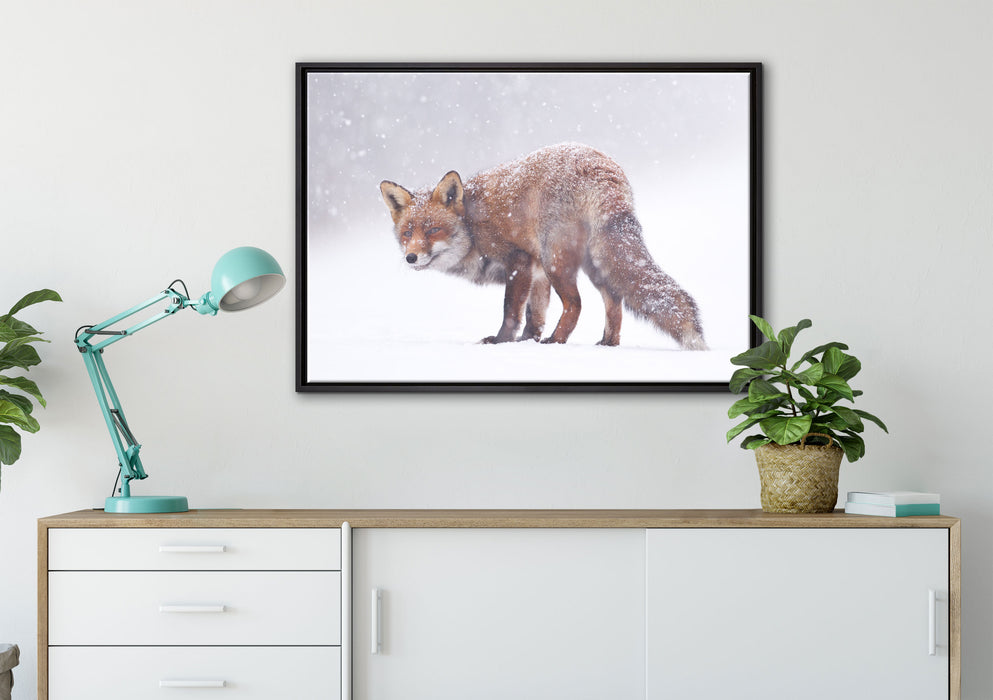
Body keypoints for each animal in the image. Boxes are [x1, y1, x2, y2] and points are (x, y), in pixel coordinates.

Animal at [379, 142, 707, 349]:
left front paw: (502, 343)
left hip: (556, 261)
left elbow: (511, 312)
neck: (472, 226)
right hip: (593, 264)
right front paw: (528, 342)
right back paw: (607, 344)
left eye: (433, 230)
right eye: (407, 233)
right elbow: (533, 317)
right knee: (614, 302)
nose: (411, 257)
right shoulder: (536, 275)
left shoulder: (519, 261)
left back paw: (557, 342)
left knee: (576, 304)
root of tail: (600, 166)